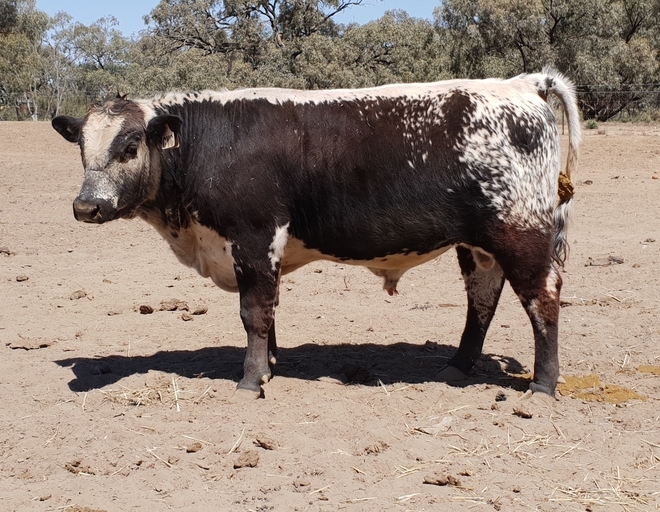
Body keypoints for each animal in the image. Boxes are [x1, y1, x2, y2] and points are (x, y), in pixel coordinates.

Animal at [52, 67, 581, 401]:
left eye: (130, 146)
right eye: (81, 146)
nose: (87, 206)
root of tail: (522, 85)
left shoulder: (254, 238)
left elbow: (253, 314)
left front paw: (250, 382)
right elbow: (267, 315)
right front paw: (268, 367)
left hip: (520, 233)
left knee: (542, 299)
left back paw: (542, 386)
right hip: (479, 244)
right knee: (482, 300)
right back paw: (455, 367)